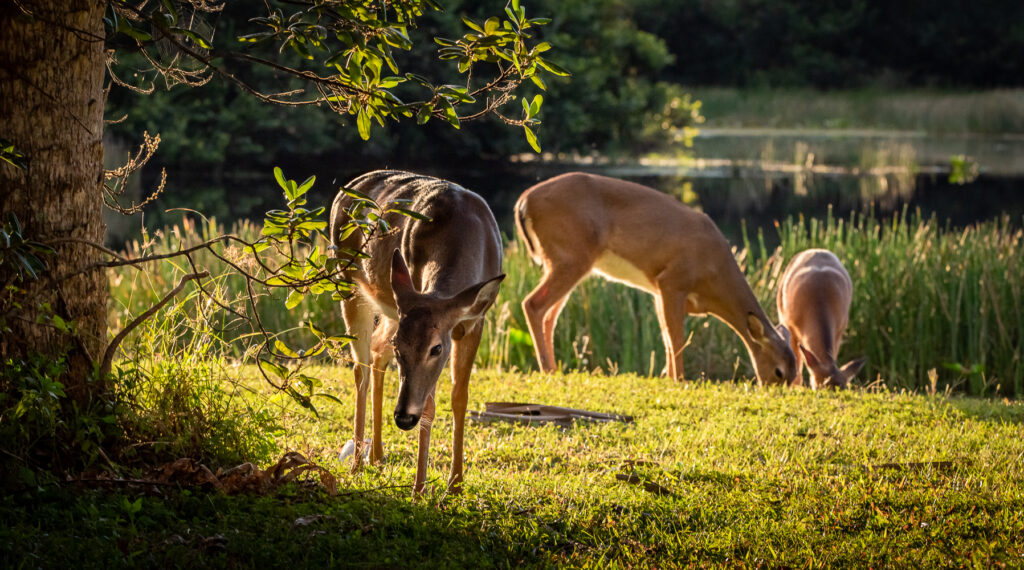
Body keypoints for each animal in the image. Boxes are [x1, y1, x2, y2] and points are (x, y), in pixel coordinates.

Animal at [327, 169, 503, 493]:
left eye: (437, 348)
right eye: (401, 348)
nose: (404, 417)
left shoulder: (475, 320)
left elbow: (460, 397)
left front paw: (455, 483)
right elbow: (430, 406)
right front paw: (419, 488)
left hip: (391, 306)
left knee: (376, 352)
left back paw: (377, 457)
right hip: (348, 282)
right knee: (361, 368)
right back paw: (358, 463)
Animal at [516, 170, 794, 384]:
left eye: (796, 373)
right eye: (779, 372)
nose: (773, 389)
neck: (714, 277)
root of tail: (524, 201)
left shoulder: (658, 290)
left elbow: (665, 336)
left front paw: (666, 376)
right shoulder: (673, 280)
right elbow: (676, 337)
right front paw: (679, 379)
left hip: (567, 262)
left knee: (550, 314)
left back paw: (554, 368)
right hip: (571, 256)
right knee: (533, 304)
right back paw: (546, 368)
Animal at [774, 246, 864, 388]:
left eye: (844, 388)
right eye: (819, 387)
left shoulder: (840, 329)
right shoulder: (790, 326)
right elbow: (796, 367)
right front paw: (794, 387)